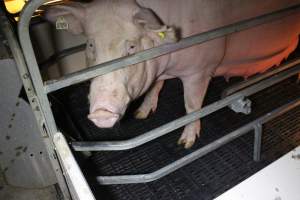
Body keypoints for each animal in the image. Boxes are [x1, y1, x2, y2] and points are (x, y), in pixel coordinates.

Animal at [45, 0, 300, 148]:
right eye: (90, 45)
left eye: (131, 47)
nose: (100, 112)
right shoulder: (158, 74)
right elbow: (155, 88)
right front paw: (141, 114)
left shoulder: (200, 70)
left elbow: (192, 106)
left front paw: (185, 143)